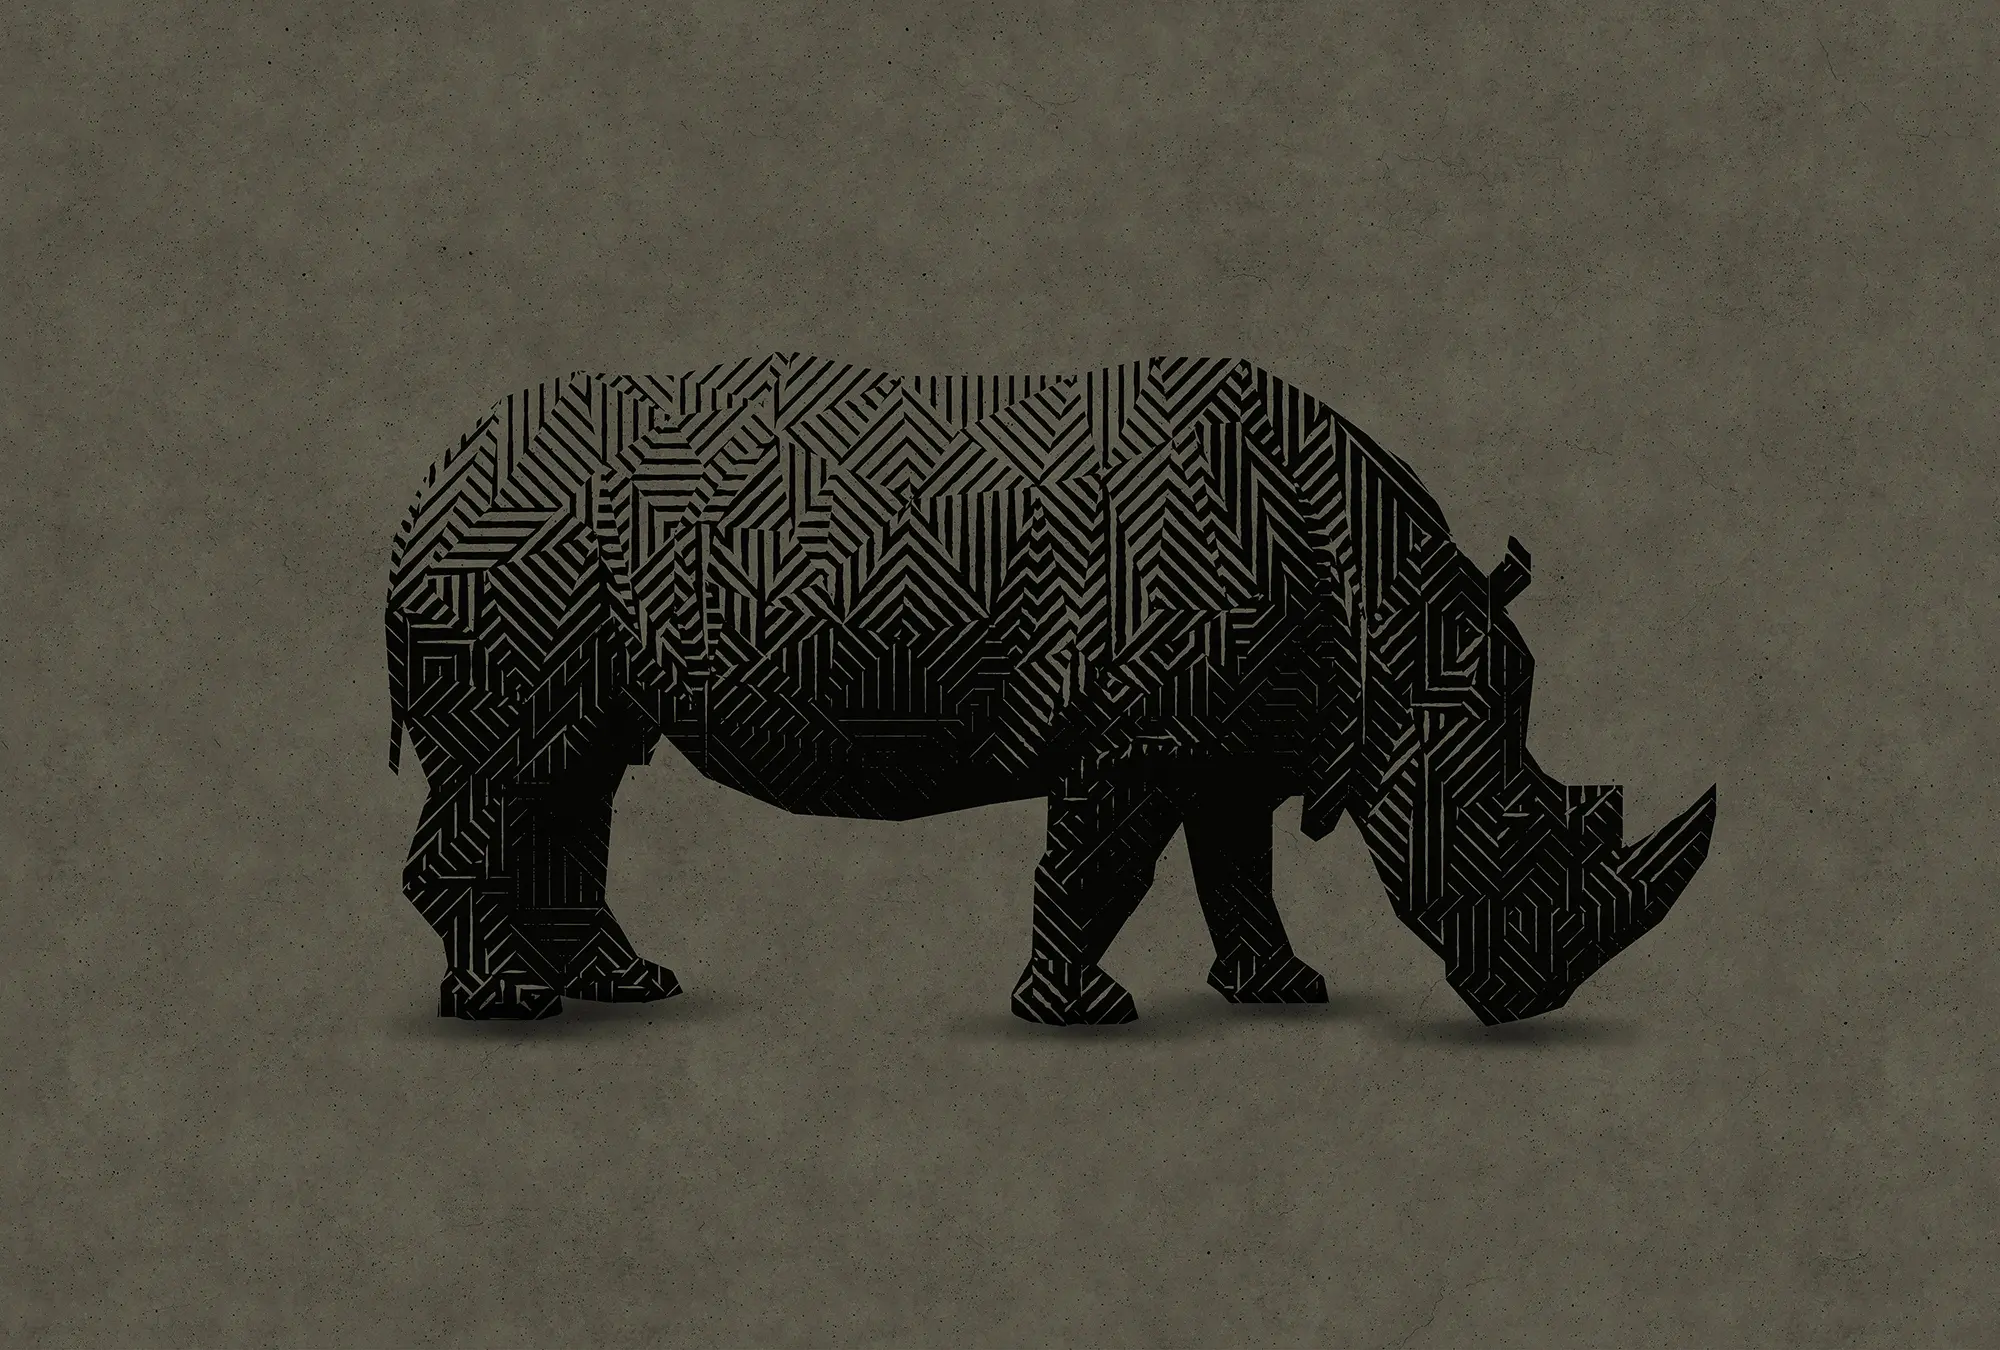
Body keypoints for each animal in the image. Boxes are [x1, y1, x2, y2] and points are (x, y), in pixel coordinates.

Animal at [385, 354, 1716, 1026]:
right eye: (1515, 824)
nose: (1531, 1002)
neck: (1394, 634)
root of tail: (426, 479)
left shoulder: (1236, 729)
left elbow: (1238, 863)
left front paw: (1283, 992)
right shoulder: (1141, 734)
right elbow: (1103, 868)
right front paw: (1083, 1013)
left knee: (579, 768)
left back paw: (624, 987)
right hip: (512, 554)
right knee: (515, 768)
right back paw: (508, 1006)